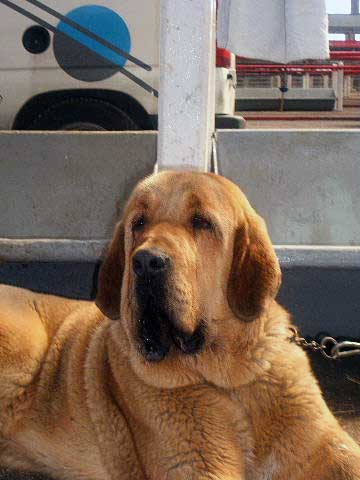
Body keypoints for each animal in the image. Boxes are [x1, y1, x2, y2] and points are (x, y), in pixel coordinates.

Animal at [0, 171, 360, 478]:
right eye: (139, 223)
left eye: (201, 222)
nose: (146, 262)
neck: (231, 380)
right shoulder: (197, 464)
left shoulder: (325, 445)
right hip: (27, 344)